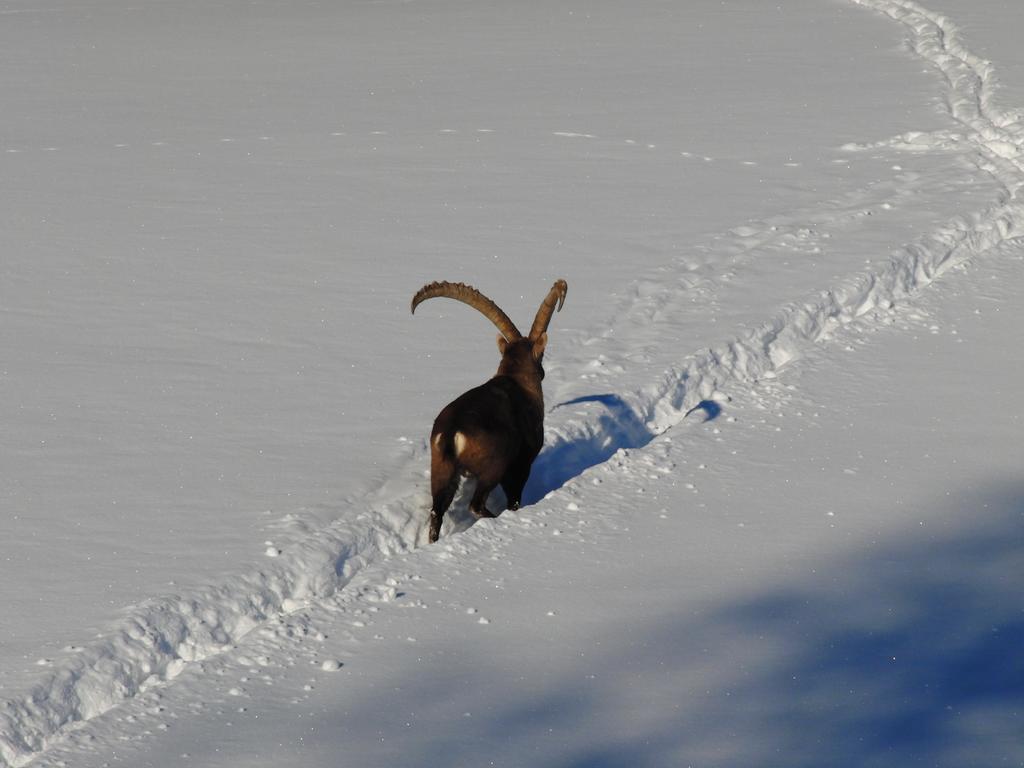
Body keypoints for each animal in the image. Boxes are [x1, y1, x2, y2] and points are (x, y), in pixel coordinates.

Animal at [409, 280, 569, 544]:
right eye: (542, 353)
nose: (543, 372)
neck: (517, 381)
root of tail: (453, 433)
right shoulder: (521, 463)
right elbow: (515, 497)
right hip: (493, 467)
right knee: (475, 504)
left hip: (442, 470)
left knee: (437, 512)